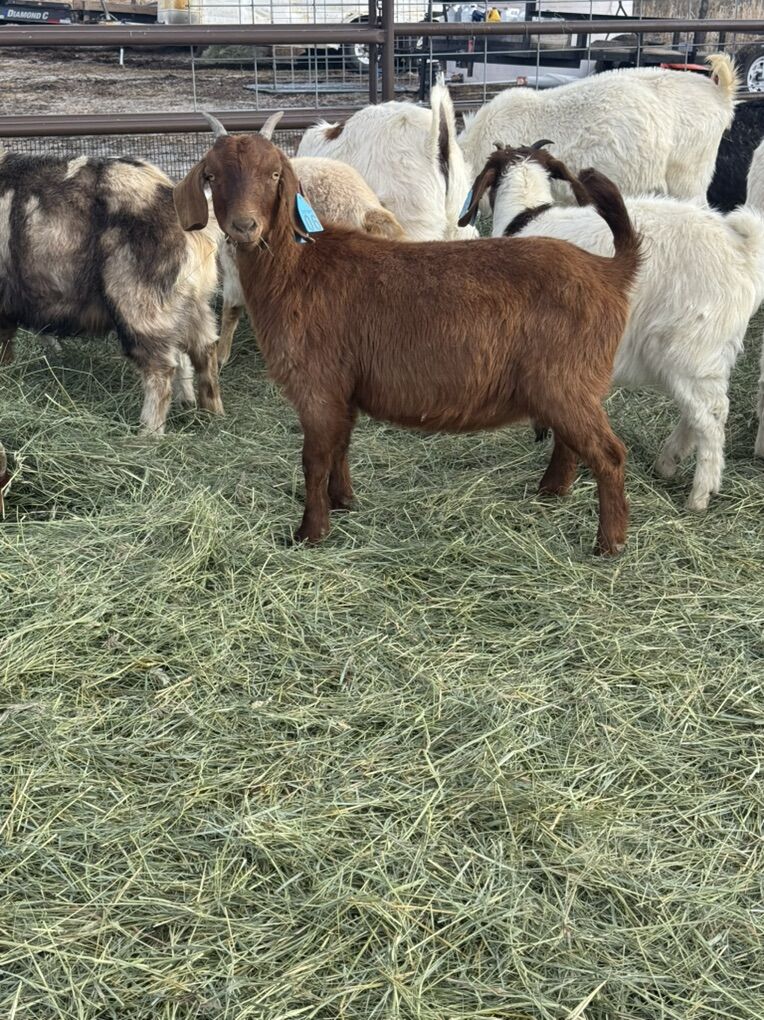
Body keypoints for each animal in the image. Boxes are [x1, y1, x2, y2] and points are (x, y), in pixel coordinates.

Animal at [0, 149, 222, 434]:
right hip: (193, 305)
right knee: (204, 352)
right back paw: (210, 415)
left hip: (142, 306)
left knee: (161, 371)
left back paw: (147, 434)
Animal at [173, 121, 641, 555]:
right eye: (212, 175)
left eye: (274, 174)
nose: (244, 227)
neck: (298, 268)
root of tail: (609, 270)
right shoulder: (344, 389)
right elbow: (340, 446)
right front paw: (344, 501)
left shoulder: (318, 385)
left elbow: (314, 460)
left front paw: (310, 533)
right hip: (566, 388)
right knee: (571, 444)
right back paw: (551, 492)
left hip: (566, 382)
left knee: (608, 453)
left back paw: (609, 542)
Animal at [470, 142, 764, 509]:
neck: (523, 217)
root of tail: (742, 247)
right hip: (704, 353)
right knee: (701, 411)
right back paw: (668, 462)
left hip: (689, 347)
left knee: (711, 416)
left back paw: (699, 495)